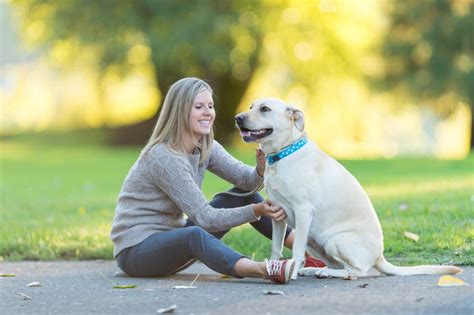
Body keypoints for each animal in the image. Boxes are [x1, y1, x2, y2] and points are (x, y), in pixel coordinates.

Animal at [237, 99, 462, 282]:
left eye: (265, 109)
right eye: (251, 106)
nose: (237, 118)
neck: (283, 153)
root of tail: (380, 257)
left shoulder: (303, 211)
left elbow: (297, 251)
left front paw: (290, 273)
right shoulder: (278, 214)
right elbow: (276, 248)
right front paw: (274, 268)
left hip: (334, 240)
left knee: (358, 271)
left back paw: (325, 272)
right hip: (315, 241)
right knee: (340, 266)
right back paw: (314, 270)